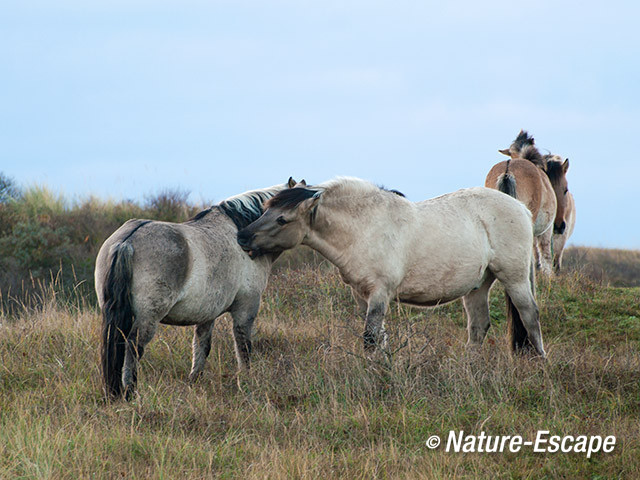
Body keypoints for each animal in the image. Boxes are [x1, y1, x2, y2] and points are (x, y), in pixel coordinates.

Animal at [96, 178, 304, 400]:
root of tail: (126, 242)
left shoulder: (207, 313)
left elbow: (202, 346)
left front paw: (194, 381)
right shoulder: (246, 308)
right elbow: (243, 347)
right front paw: (246, 381)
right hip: (148, 317)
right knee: (134, 347)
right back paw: (130, 392)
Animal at [238, 178, 548, 358]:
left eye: (282, 219)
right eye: (265, 209)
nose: (242, 237)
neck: (364, 228)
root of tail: (520, 207)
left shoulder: (380, 292)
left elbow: (371, 337)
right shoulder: (362, 296)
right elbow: (379, 337)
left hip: (515, 278)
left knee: (530, 316)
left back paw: (540, 362)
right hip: (477, 286)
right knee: (479, 326)